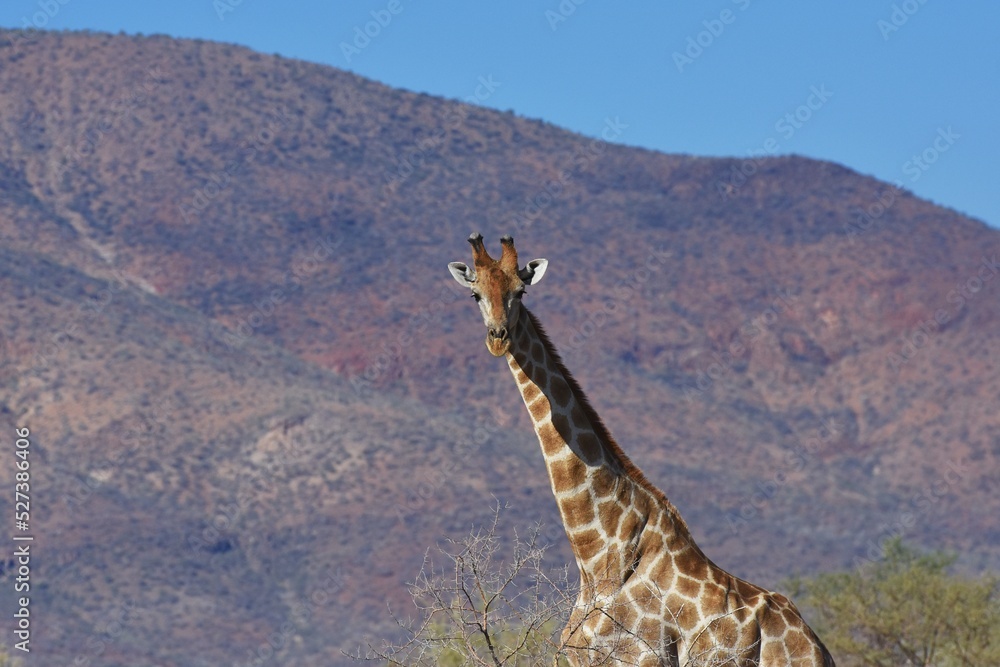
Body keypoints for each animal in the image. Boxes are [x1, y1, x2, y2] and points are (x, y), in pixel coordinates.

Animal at [448, 234, 835, 667]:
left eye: (521, 290)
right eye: (476, 294)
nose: (498, 338)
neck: (595, 557)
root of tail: (819, 647)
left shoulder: (644, 656)